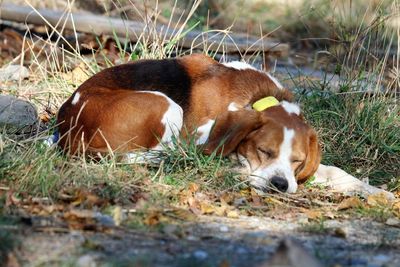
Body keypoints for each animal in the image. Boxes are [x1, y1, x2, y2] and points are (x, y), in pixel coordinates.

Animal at [55, 54, 394, 199]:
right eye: (263, 151)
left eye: (297, 161)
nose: (280, 185)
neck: (259, 98)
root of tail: (67, 126)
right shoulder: (198, 135)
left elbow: (336, 171)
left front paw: (375, 191)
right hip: (167, 104)